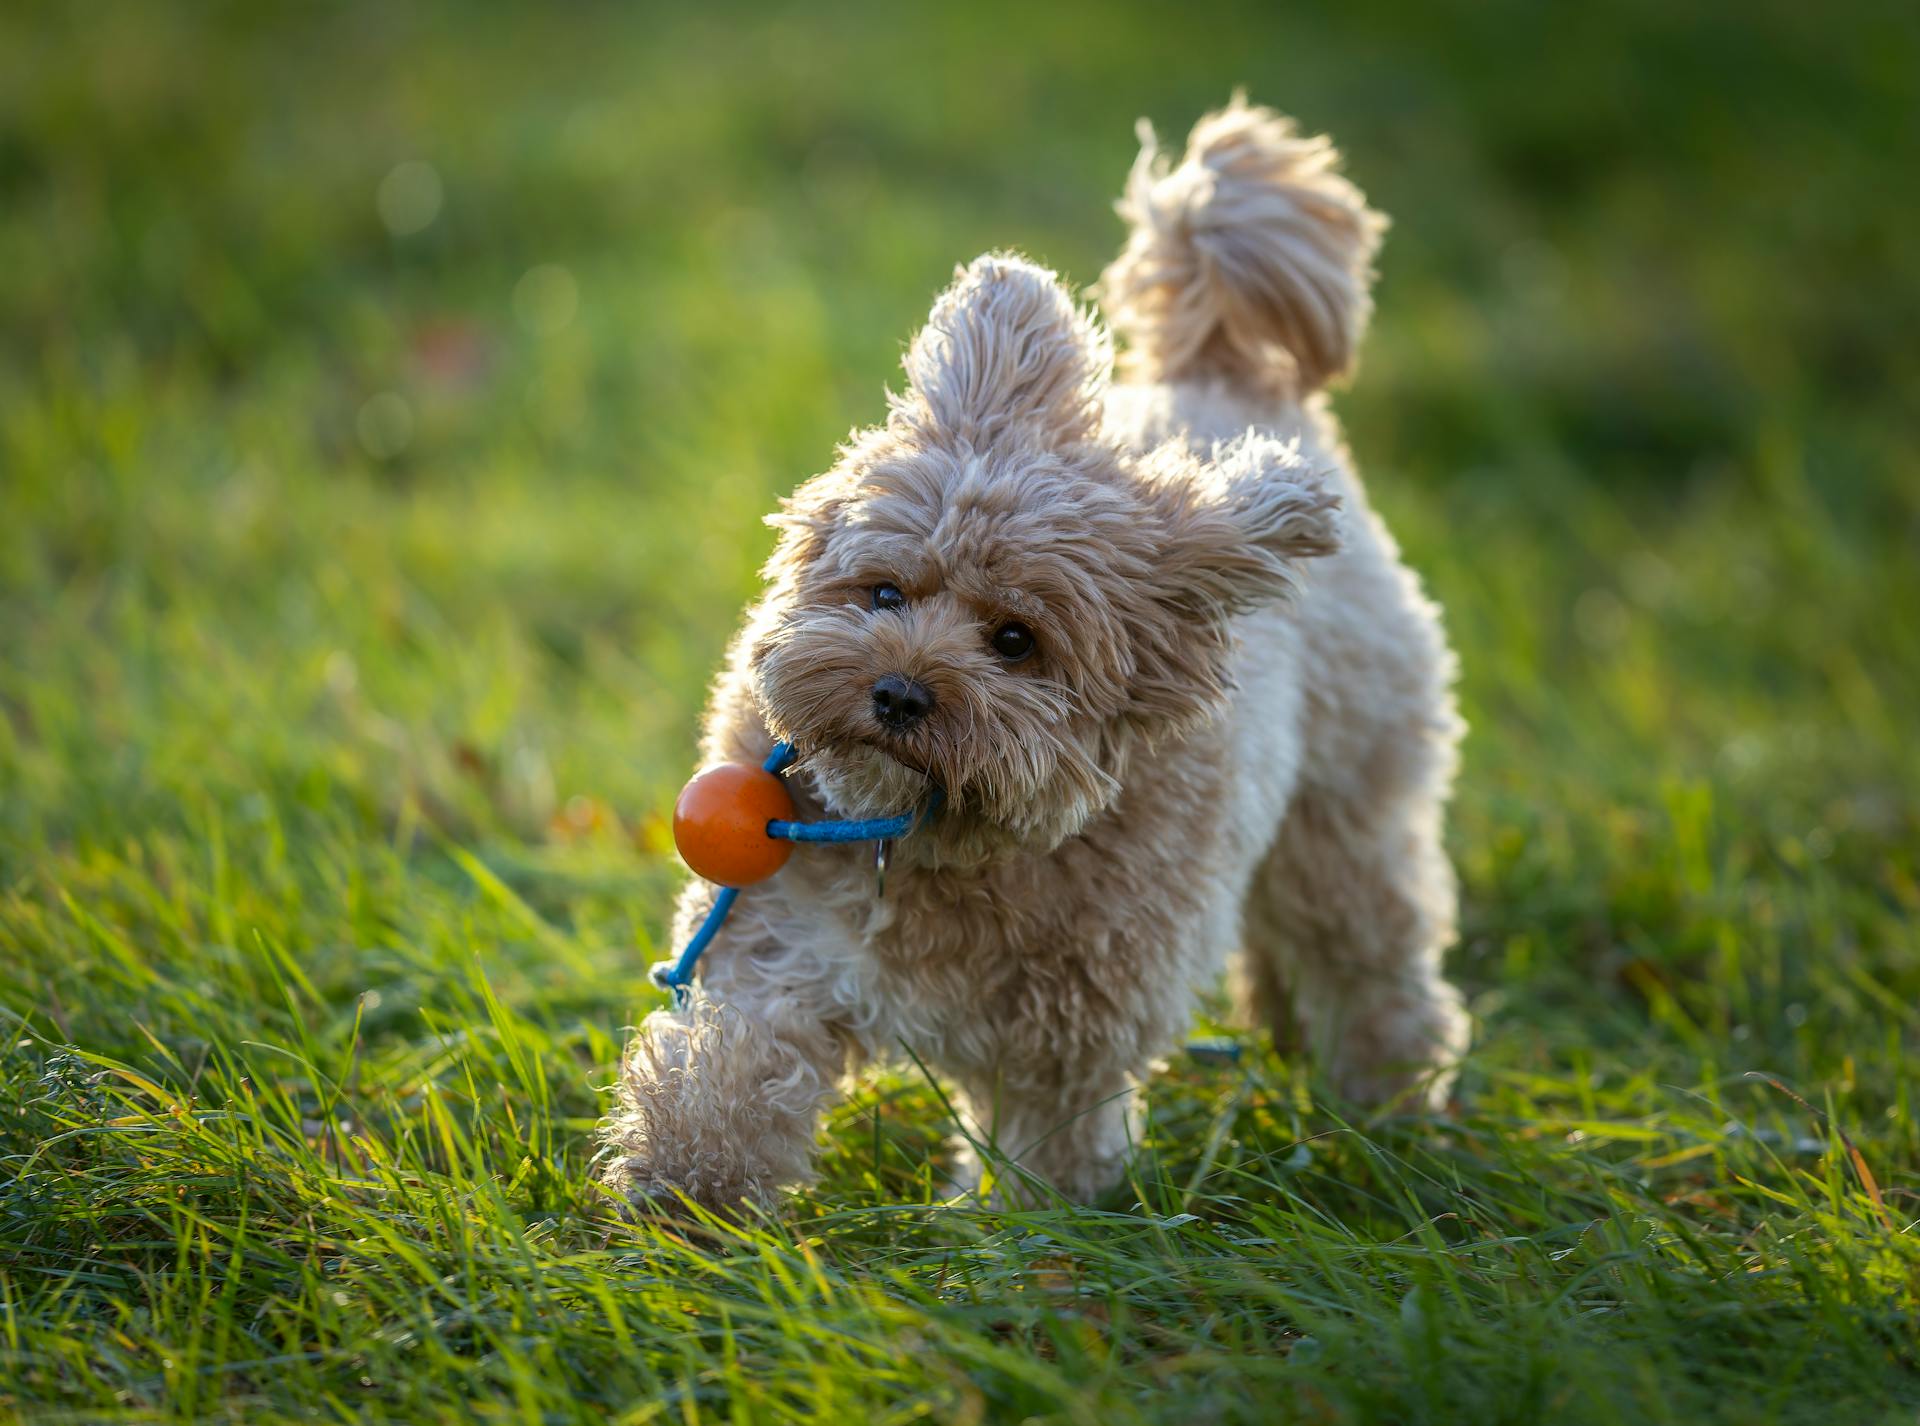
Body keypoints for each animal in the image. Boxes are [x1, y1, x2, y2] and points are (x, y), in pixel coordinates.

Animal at [599, 97, 1466, 1212]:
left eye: (1017, 641)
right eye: (886, 591)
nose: (897, 692)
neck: (931, 841)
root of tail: (1221, 374)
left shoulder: (1068, 1037)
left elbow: (1048, 1156)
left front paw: (1015, 1239)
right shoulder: (780, 947)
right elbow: (733, 1072)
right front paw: (683, 1200)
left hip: (1349, 807)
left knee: (1370, 959)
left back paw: (1391, 1103)